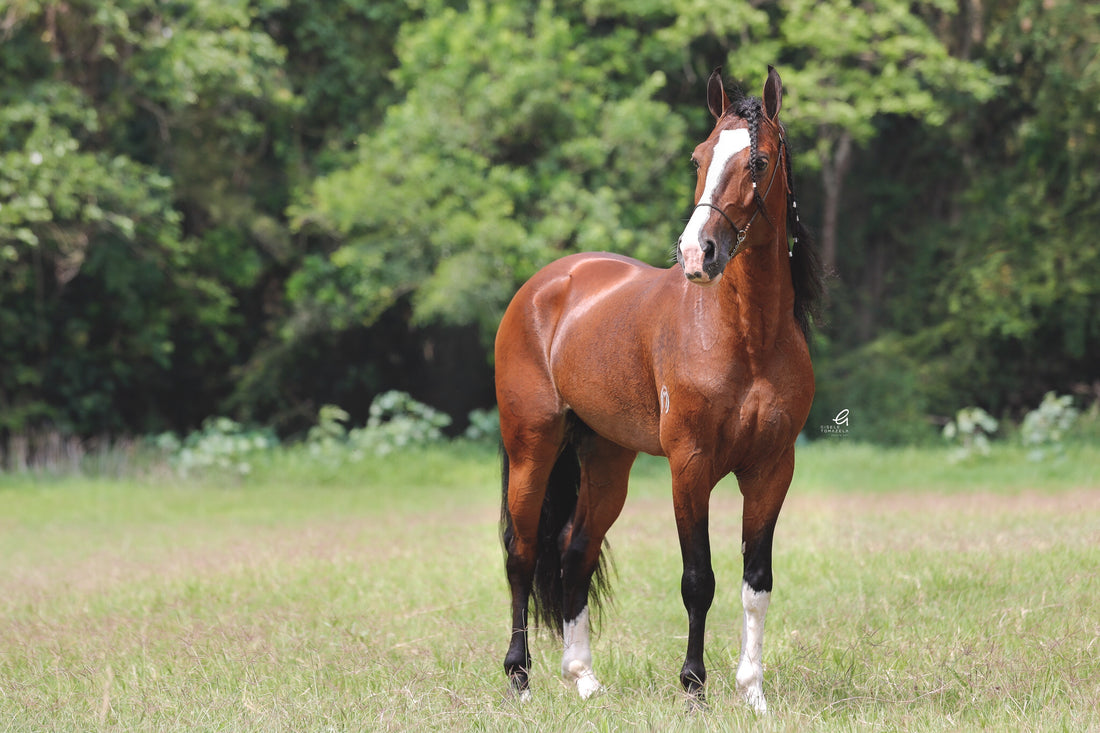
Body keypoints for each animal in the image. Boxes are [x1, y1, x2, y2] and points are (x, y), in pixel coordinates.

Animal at [495, 67, 822, 708]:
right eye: (698, 156)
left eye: (760, 161)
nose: (698, 253)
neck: (746, 338)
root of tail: (544, 286)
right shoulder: (689, 466)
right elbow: (699, 580)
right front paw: (694, 686)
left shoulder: (772, 469)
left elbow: (756, 583)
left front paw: (752, 692)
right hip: (532, 448)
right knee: (522, 554)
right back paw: (519, 678)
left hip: (606, 458)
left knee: (574, 550)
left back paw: (584, 679)